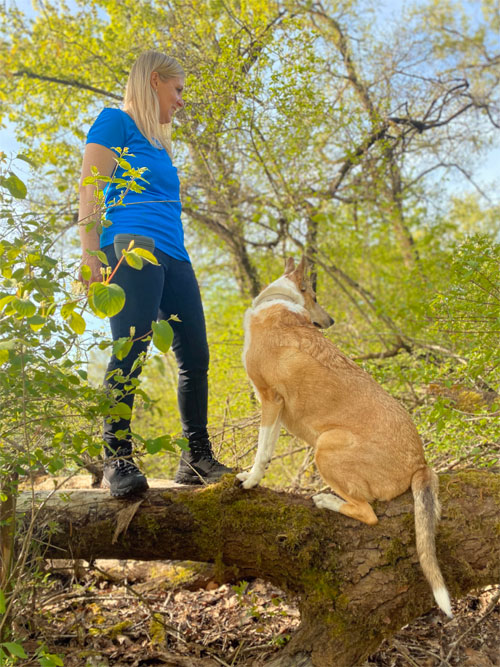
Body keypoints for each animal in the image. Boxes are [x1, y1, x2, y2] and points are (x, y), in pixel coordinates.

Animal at [236, 258, 452, 620]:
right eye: (315, 297)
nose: (331, 321)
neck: (278, 302)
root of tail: (420, 464)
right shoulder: (275, 410)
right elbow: (267, 448)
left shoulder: (270, 400)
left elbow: (262, 451)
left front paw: (251, 481)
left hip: (325, 447)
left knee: (368, 513)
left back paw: (326, 500)